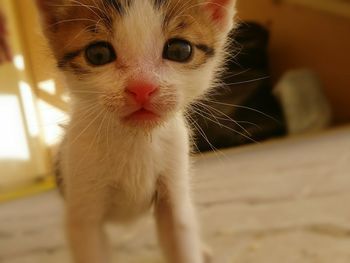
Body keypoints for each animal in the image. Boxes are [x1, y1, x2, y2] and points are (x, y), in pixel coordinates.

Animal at [36, 1, 235, 262]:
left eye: (180, 50)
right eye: (97, 54)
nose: (142, 87)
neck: (135, 139)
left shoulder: (174, 182)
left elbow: (180, 232)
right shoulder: (83, 210)